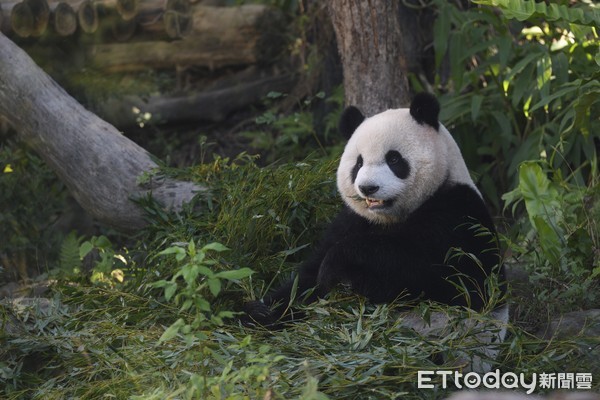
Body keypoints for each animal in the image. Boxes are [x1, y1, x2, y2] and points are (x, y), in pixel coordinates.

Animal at [244, 93, 506, 328]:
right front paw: (261, 311)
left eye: (394, 159)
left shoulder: (458, 214)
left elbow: (450, 279)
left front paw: (338, 263)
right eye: (358, 163)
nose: (368, 187)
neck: (389, 218)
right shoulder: (351, 221)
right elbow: (306, 279)